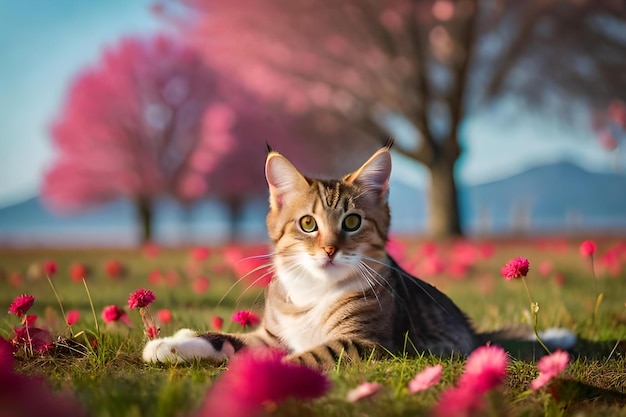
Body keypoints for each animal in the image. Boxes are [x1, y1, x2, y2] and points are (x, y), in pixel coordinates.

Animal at [144, 143, 480, 368]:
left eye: (352, 222)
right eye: (308, 224)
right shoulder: (270, 337)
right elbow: (226, 337)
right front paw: (168, 344)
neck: (312, 292)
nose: (330, 249)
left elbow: (309, 355)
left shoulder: (367, 344)